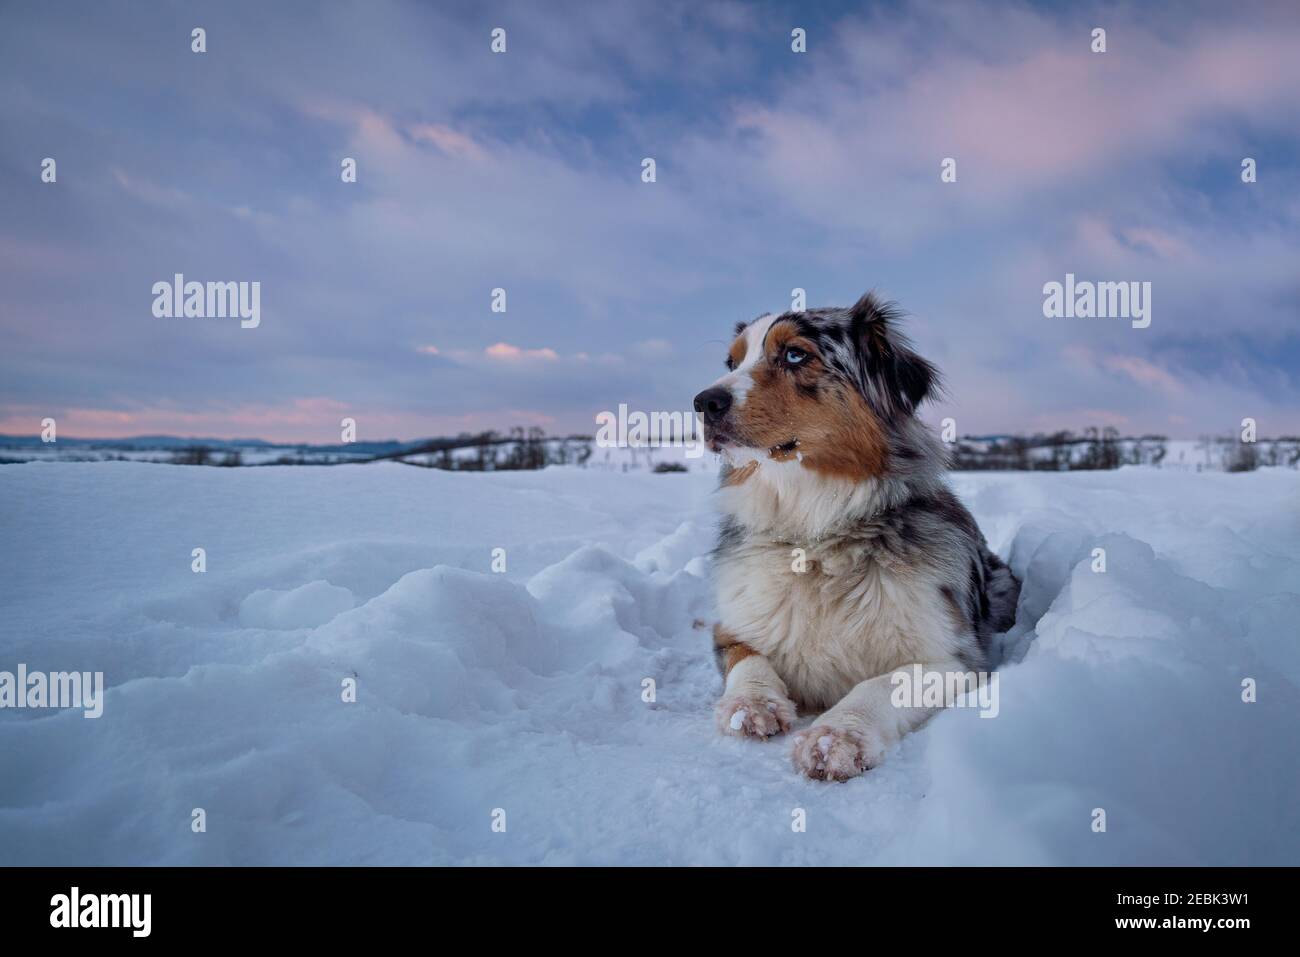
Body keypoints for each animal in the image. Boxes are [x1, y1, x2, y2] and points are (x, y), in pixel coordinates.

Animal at [696, 289, 1019, 780]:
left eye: (795, 354)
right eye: (732, 362)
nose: (703, 402)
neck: (814, 534)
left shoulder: (955, 660)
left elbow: (882, 684)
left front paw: (837, 735)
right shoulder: (733, 627)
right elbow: (747, 657)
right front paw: (751, 704)